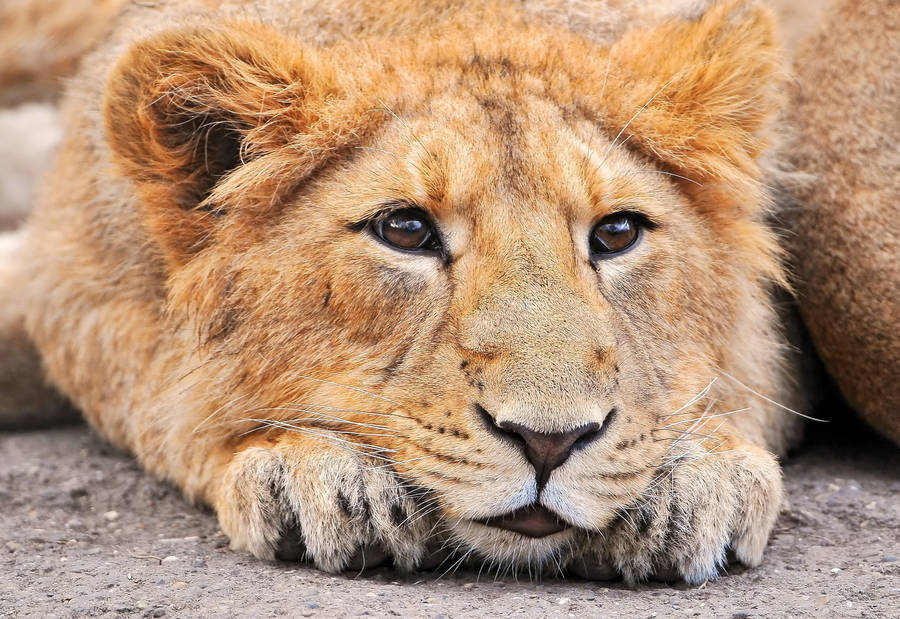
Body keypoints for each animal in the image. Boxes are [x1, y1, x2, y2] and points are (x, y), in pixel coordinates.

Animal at [0, 0, 892, 585]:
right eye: (405, 230)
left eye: (615, 233)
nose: (549, 442)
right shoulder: (71, 285)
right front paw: (314, 470)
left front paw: (693, 477)